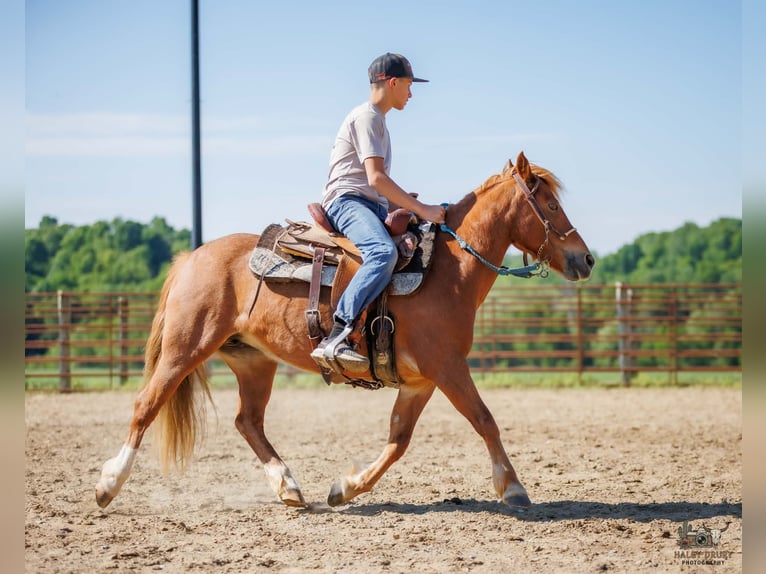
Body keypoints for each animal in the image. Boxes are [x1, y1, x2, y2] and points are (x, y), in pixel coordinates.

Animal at [95, 151, 594, 511]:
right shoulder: (447, 367)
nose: (586, 259)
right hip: (184, 350)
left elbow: (398, 440)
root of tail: (191, 258)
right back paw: (108, 484)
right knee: (145, 405)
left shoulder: (421, 380)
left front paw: (346, 487)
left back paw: (289, 487)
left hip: (253, 361)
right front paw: (513, 487)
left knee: (247, 421)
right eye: (551, 205)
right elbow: (484, 418)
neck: (448, 269)